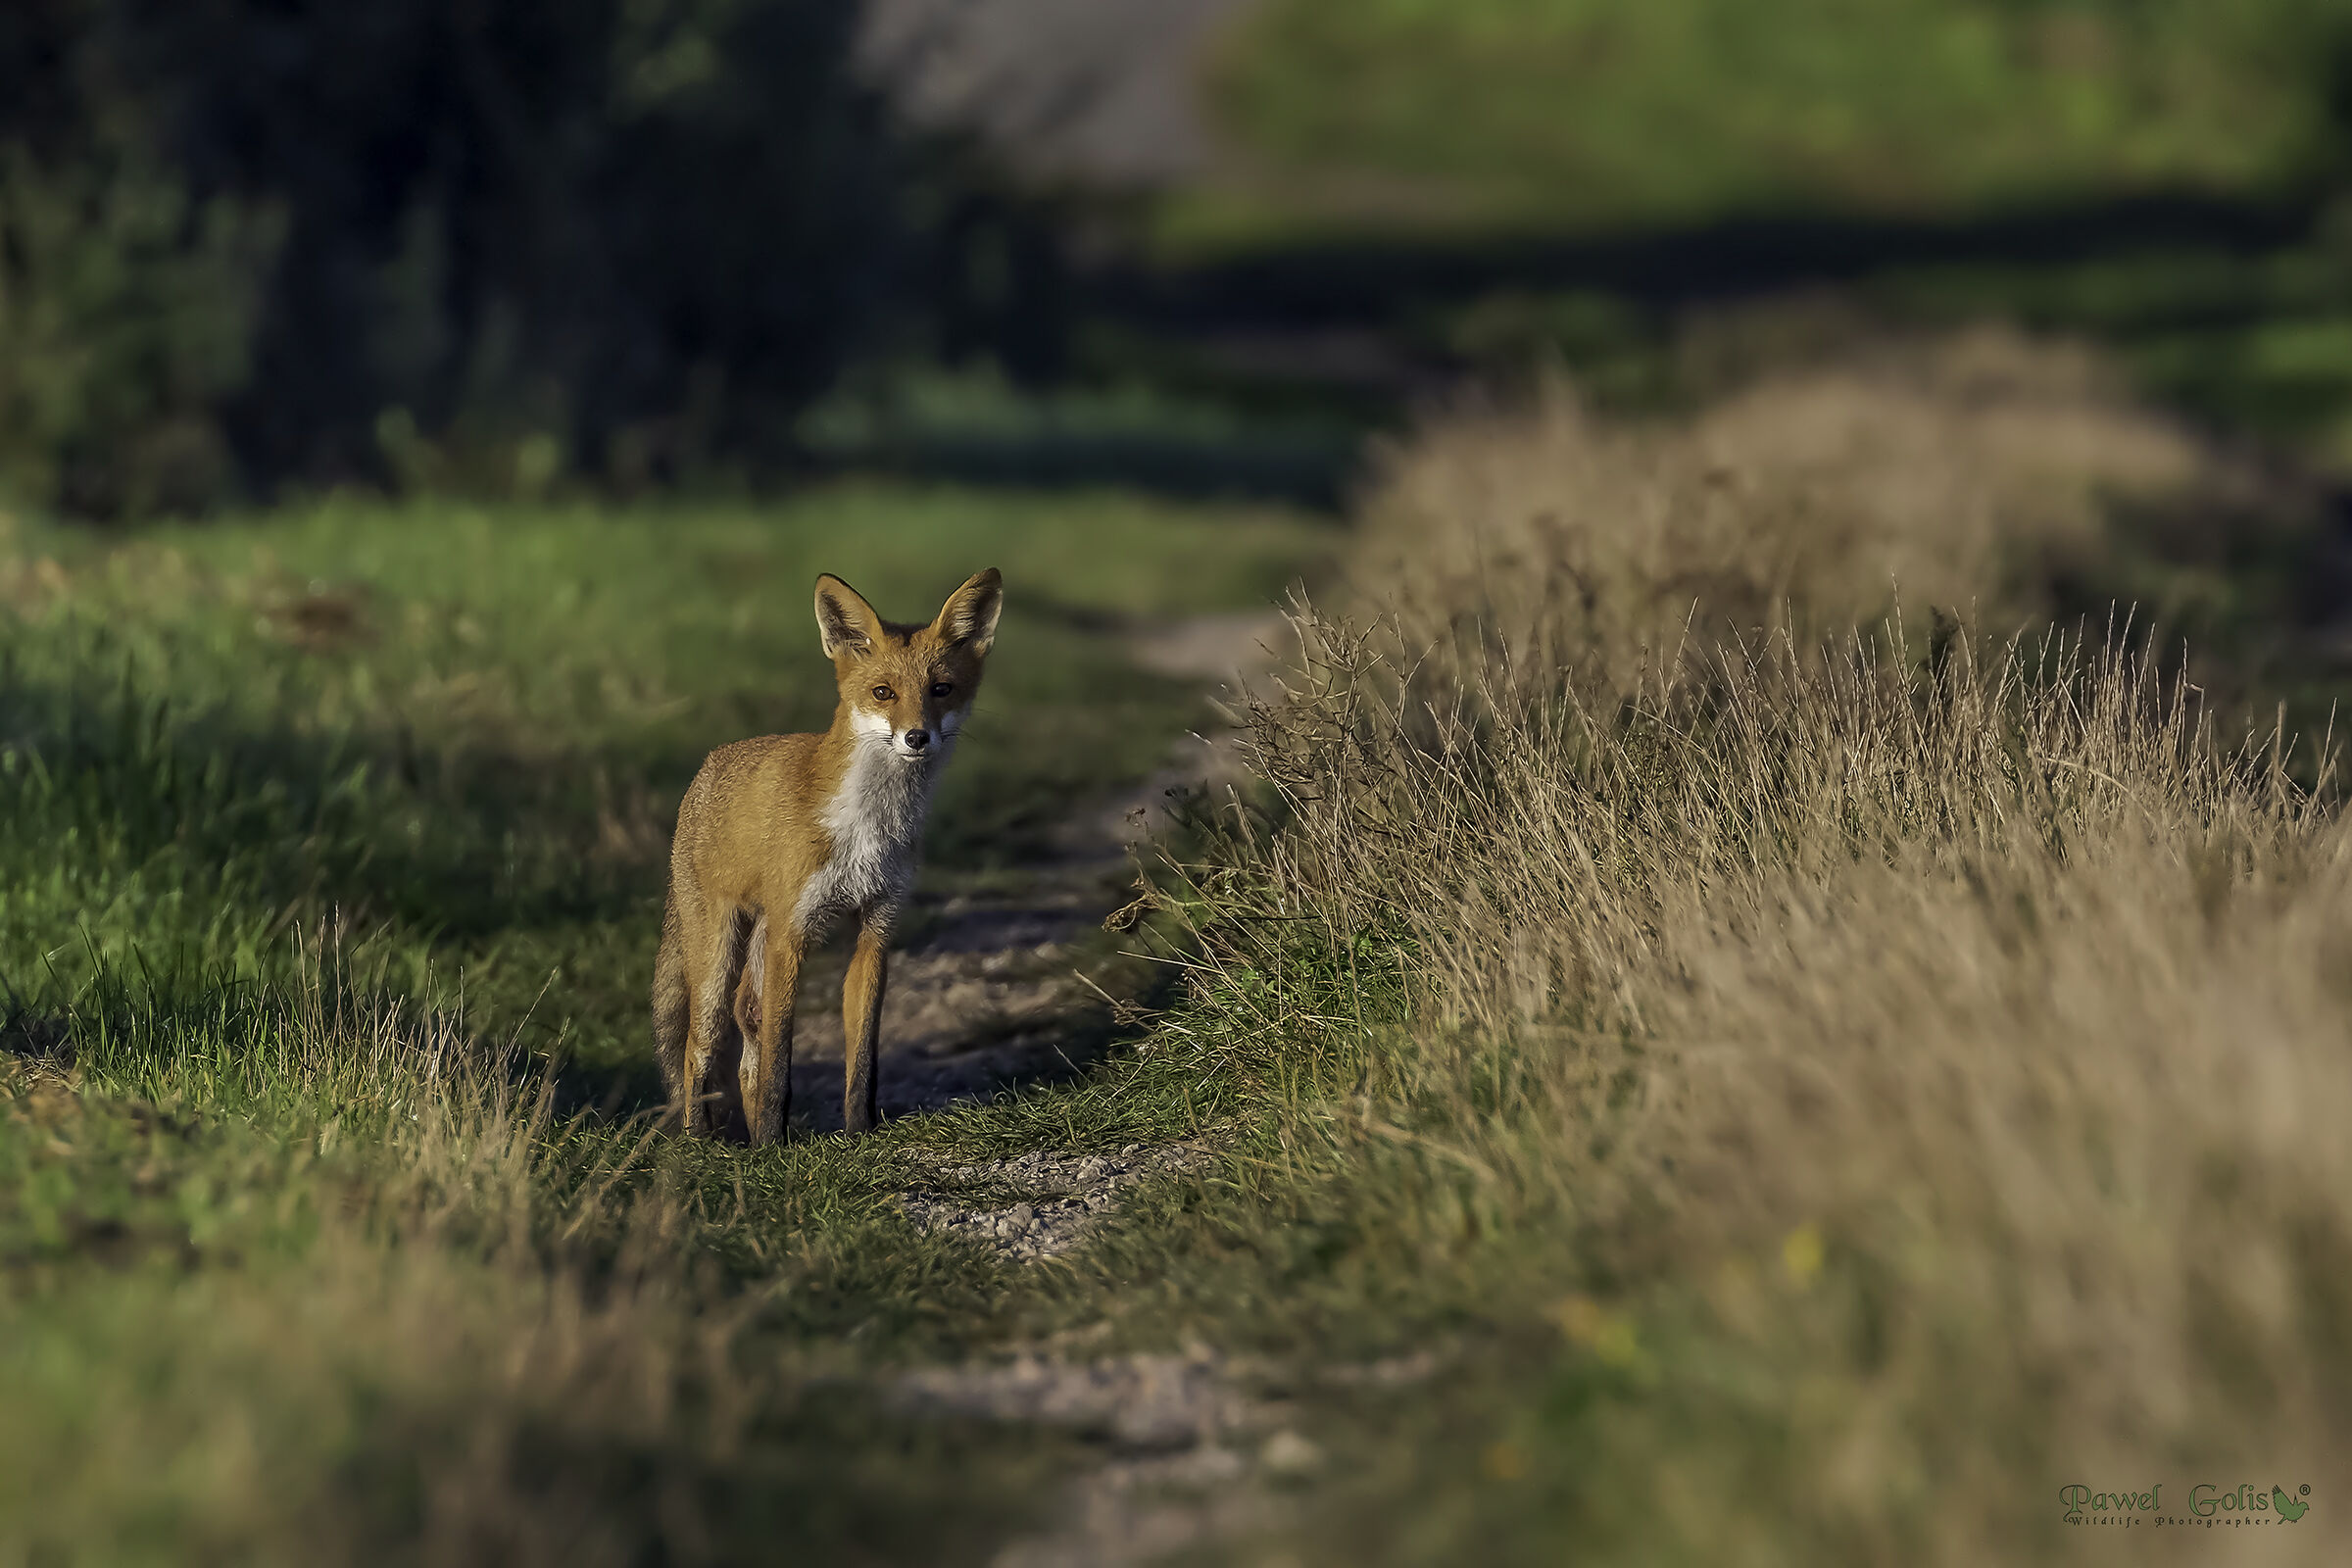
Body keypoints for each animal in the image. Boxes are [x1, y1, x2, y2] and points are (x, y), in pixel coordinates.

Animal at [652, 568, 1002, 1142]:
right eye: (883, 693)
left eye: (941, 689)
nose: (917, 737)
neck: (867, 826)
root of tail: (708, 765)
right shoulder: (792, 938)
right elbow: (779, 1064)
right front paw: (775, 1146)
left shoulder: (877, 930)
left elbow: (862, 1058)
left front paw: (860, 1134)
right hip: (717, 955)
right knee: (697, 1047)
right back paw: (703, 1141)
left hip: (759, 941)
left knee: (747, 1028)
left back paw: (747, 1136)